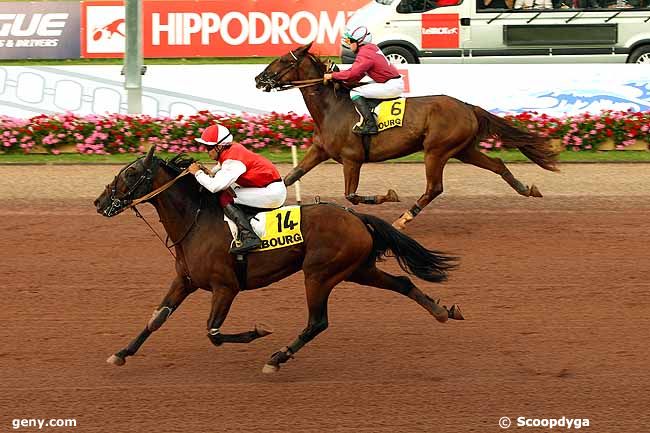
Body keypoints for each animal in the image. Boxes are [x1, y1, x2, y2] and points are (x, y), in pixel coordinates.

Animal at [93, 147, 464, 372]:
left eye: (130, 174)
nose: (99, 202)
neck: (196, 221)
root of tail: (356, 217)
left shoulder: (225, 287)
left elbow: (213, 332)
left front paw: (258, 332)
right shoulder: (185, 281)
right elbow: (156, 319)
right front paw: (121, 353)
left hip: (319, 274)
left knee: (317, 322)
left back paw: (277, 357)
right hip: (357, 269)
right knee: (402, 282)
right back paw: (442, 312)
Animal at [253, 43, 556, 230]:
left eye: (283, 60)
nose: (259, 79)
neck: (332, 108)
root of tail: (467, 106)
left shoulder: (352, 159)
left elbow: (351, 195)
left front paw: (389, 196)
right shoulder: (320, 151)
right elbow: (289, 177)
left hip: (436, 150)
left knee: (434, 188)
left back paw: (403, 219)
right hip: (463, 149)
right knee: (497, 164)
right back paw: (526, 189)